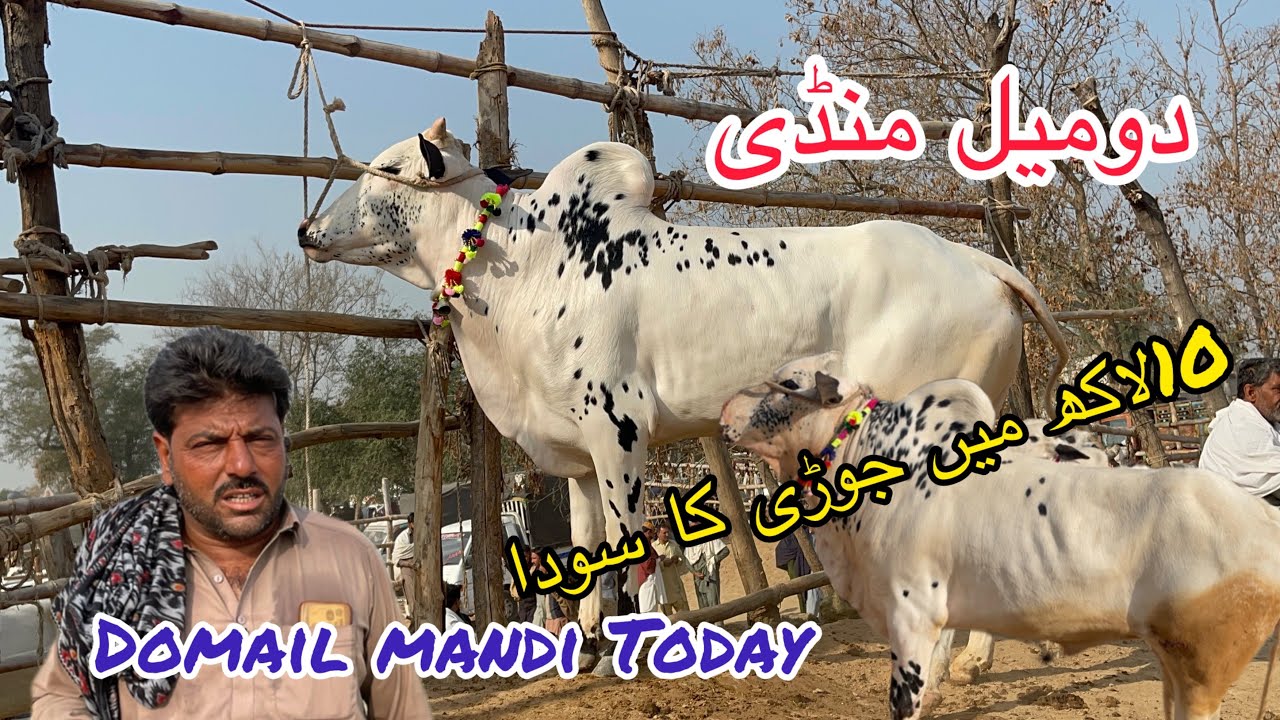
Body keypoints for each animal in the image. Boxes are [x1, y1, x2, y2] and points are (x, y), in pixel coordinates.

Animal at [296, 117, 1071, 653]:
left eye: (390, 168)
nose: (307, 228)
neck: (526, 268)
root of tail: (977, 262)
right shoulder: (576, 458)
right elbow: (585, 551)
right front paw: (586, 643)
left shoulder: (618, 430)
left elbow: (626, 541)